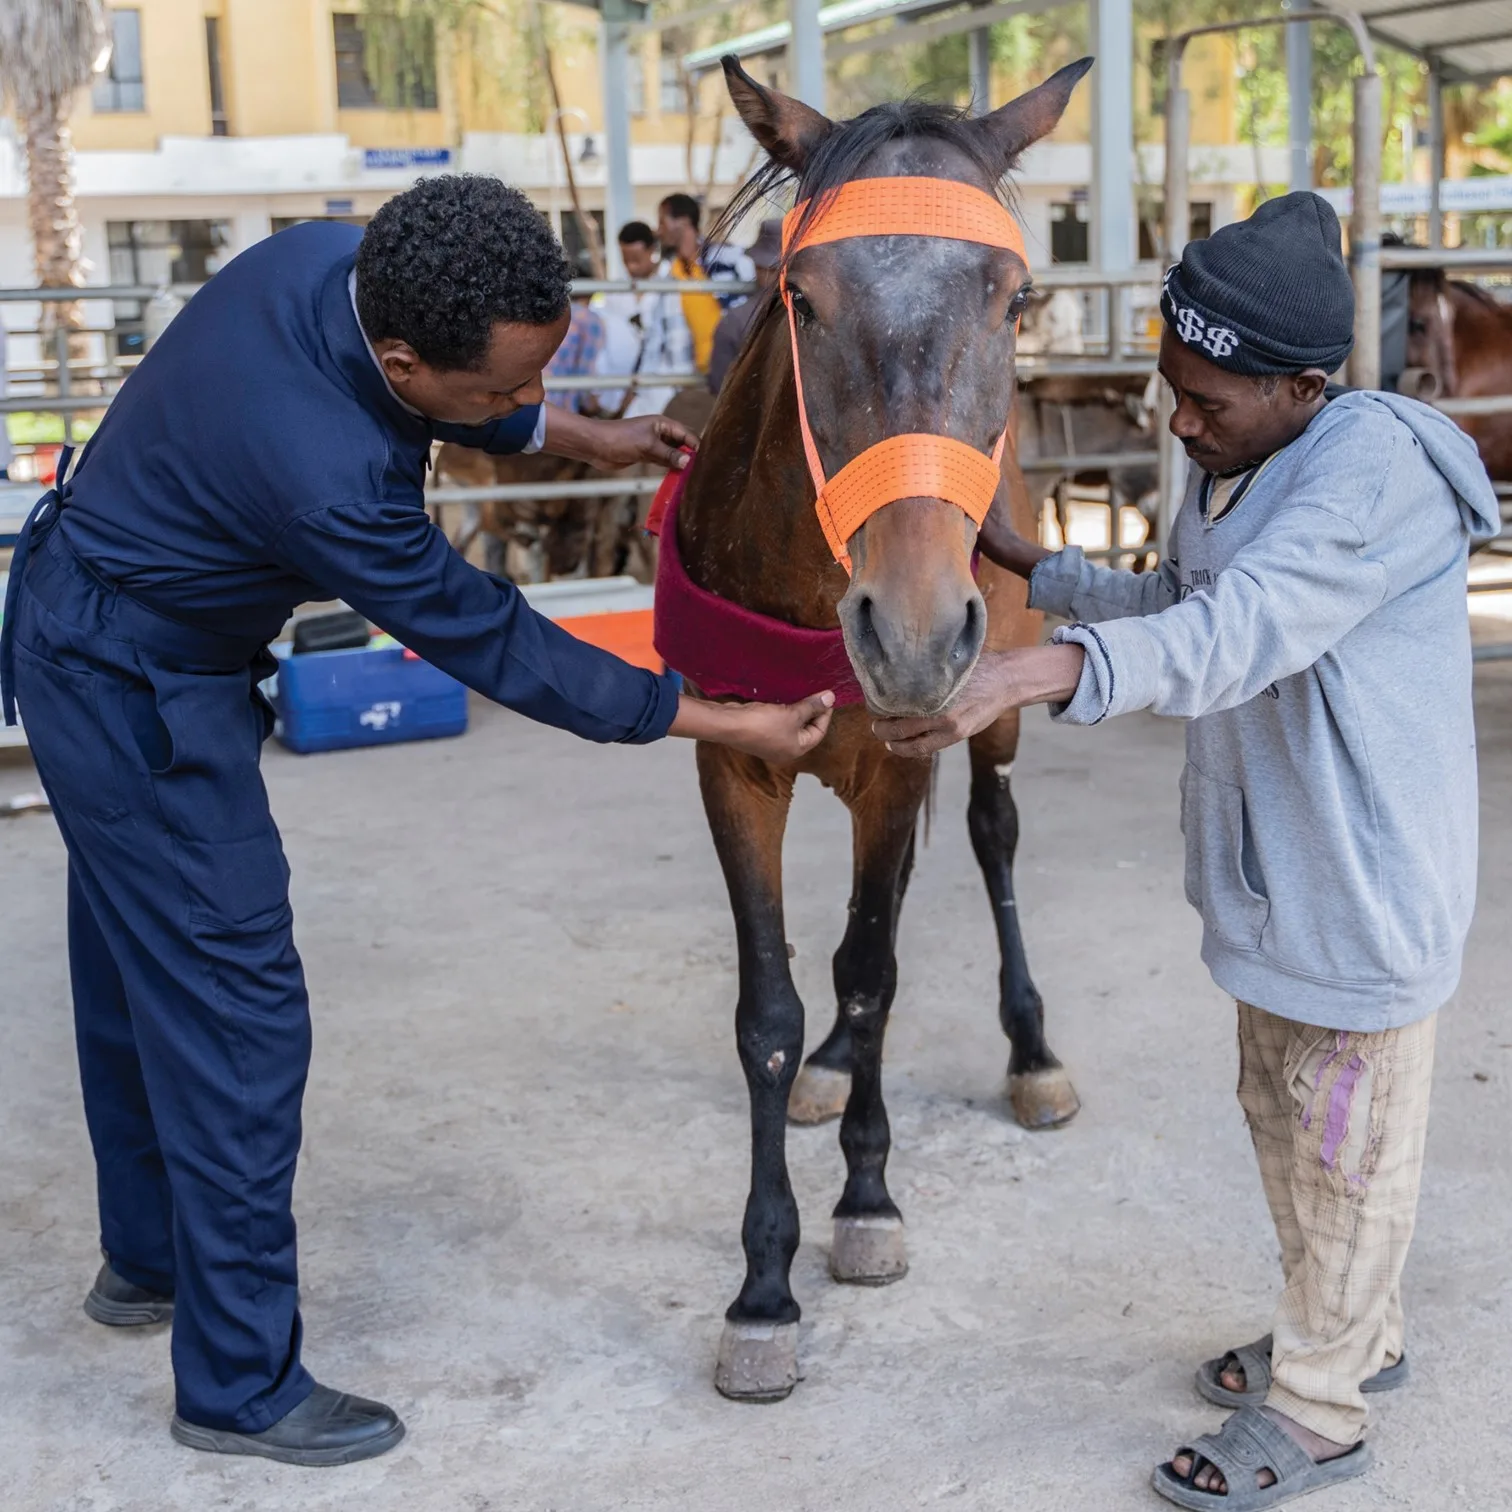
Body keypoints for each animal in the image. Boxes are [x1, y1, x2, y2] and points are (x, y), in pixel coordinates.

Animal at [670, 54, 1092, 1402]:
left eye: (1017, 299)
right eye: (799, 298)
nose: (908, 631)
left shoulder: (907, 758)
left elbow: (869, 974)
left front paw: (866, 1201)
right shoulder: (731, 764)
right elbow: (770, 1012)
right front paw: (762, 1286)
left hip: (988, 709)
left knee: (990, 839)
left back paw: (1029, 1054)